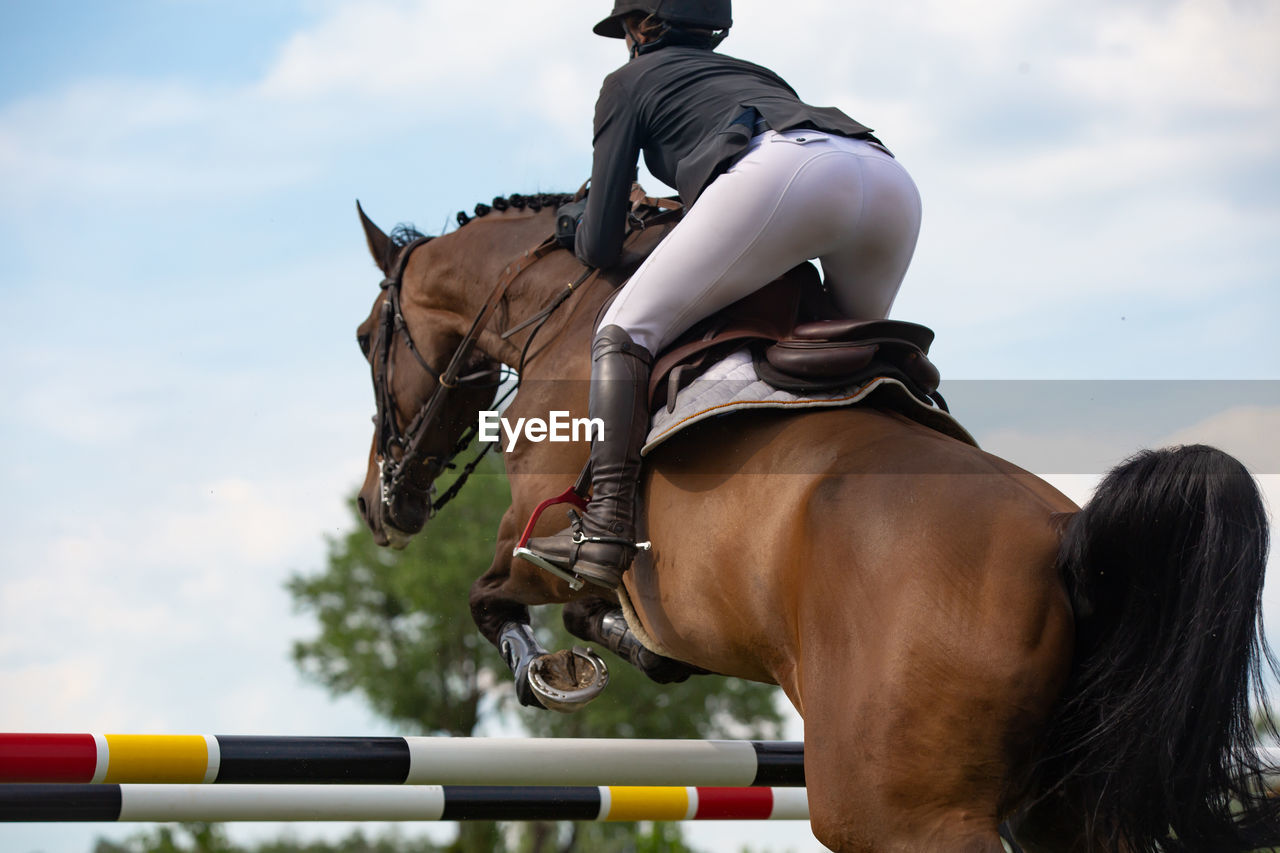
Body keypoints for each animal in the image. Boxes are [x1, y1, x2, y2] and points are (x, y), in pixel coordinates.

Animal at [353, 194, 1280, 850]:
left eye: (366, 338)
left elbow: (491, 597)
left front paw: (549, 673)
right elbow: (601, 616)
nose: (378, 504)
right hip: (1067, 806)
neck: (560, 313)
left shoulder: (534, 537)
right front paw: (630, 651)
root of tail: (1067, 540)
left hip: (898, 814)